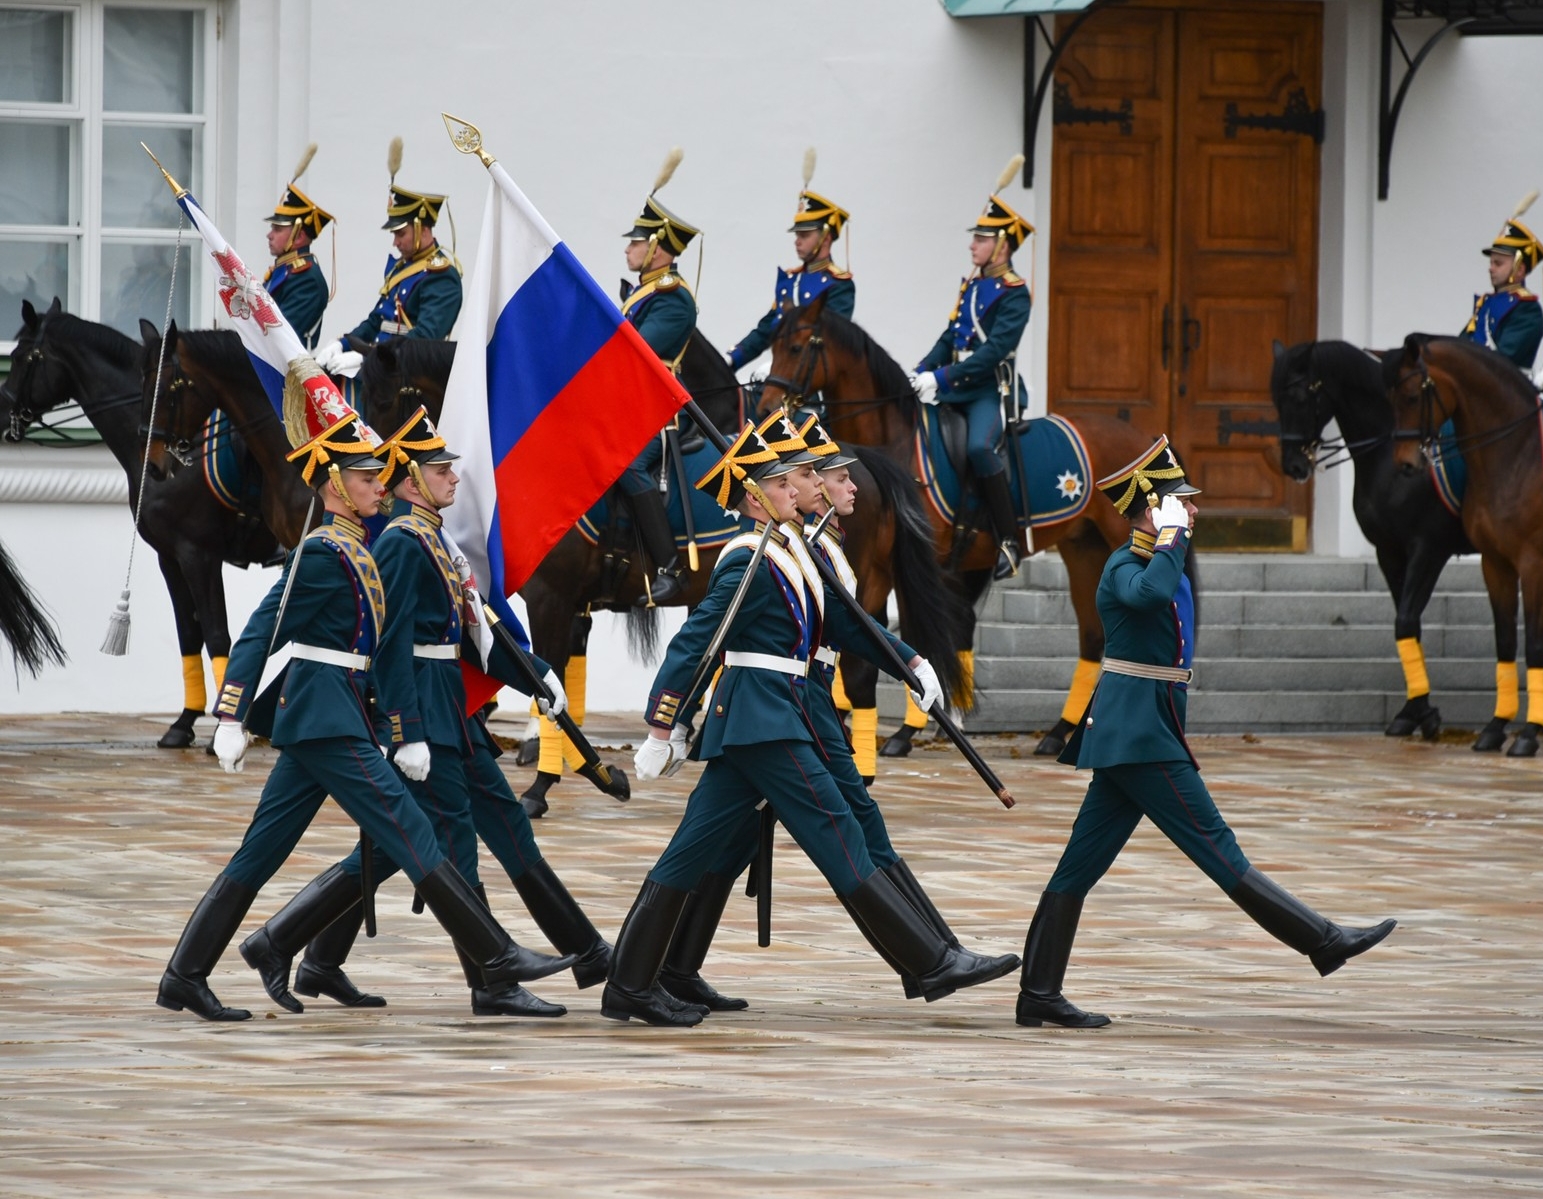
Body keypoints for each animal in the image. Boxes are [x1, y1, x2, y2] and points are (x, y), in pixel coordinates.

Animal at [3, 299, 279, 743]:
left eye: (21, 356)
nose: (1, 408)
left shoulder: (199, 554)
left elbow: (217, 632)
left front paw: (222, 728)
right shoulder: (170, 556)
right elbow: (189, 633)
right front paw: (185, 721)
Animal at [359, 331, 962, 808]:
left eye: (386, 396)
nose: (378, 479)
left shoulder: (553, 598)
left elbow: (546, 676)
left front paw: (543, 783)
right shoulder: (575, 603)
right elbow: (557, 674)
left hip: (866, 590)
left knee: (856, 675)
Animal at [752, 294, 1160, 753]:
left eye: (797, 347)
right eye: (772, 344)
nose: (765, 408)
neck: (895, 445)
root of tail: (1139, 435)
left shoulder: (917, 564)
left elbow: (917, 633)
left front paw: (907, 730)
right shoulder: (891, 566)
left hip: (1114, 540)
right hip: (1083, 548)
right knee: (1093, 635)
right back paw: (1059, 732)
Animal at [1271, 336, 1512, 746]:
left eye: (1301, 397)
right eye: (1275, 399)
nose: (1294, 467)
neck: (1389, 457)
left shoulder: (1428, 549)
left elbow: (1406, 619)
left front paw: (1424, 714)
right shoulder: (1389, 551)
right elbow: (1407, 624)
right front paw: (1413, 712)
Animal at [1388, 331, 1543, 753]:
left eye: (1412, 396)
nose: (1405, 464)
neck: (1517, 456)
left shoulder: (1532, 564)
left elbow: (1533, 645)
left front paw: (1529, 735)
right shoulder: (1495, 563)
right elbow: (1504, 640)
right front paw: (1495, 727)